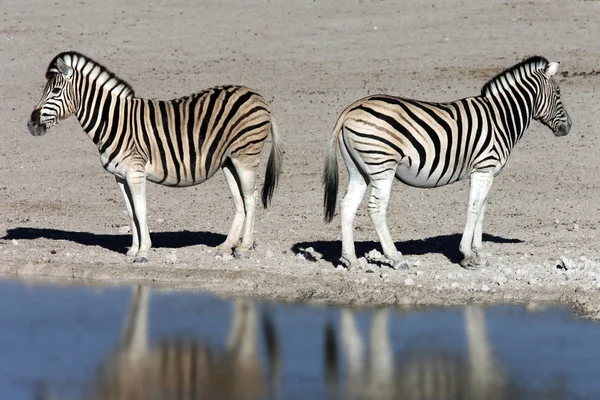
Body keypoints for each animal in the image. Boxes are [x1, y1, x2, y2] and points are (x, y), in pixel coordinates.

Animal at [27, 50, 282, 262]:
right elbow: (130, 212)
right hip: (229, 161)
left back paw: (244, 248)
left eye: (55, 91)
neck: (113, 121)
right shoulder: (120, 176)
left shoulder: (135, 173)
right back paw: (227, 246)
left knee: (250, 197)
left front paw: (143, 252)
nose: (31, 124)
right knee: (241, 200)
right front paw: (132, 250)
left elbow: (141, 210)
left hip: (245, 157)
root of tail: (258, 96)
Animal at [324, 56, 572, 270]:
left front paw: (480, 254)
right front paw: (467, 254)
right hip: (382, 166)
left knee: (347, 205)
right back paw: (396, 258)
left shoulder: (485, 172)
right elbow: (474, 208)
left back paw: (351, 260)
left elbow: (482, 209)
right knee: (376, 209)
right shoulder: (484, 167)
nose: (568, 127)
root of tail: (351, 108)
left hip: (359, 170)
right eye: (558, 92)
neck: (501, 117)